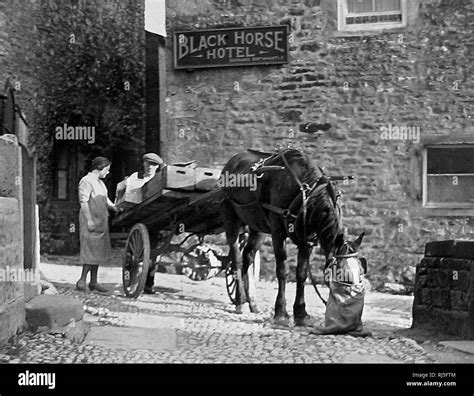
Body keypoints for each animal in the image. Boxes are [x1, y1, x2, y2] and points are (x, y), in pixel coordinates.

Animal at [222, 147, 344, 326]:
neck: (304, 192)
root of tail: (232, 161)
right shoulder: (277, 231)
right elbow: (282, 270)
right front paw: (280, 312)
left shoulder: (307, 239)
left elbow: (301, 273)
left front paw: (301, 313)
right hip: (231, 218)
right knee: (236, 259)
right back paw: (239, 301)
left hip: (257, 228)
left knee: (247, 257)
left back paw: (250, 301)